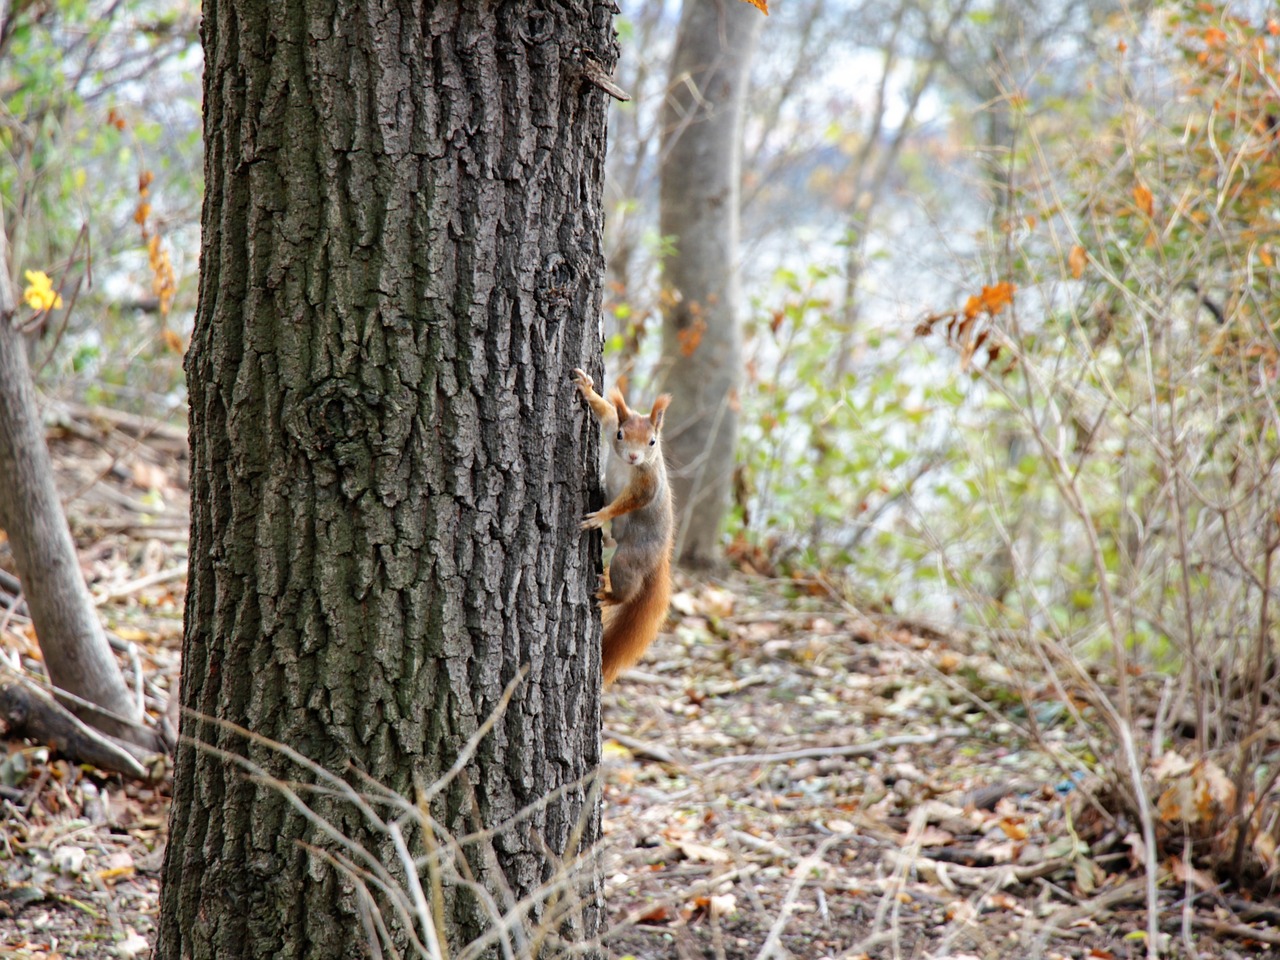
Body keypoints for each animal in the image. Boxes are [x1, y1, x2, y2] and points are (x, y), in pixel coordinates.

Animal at [573, 366, 675, 686]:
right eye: (621, 434)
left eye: (652, 441)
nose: (633, 455)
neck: (628, 466)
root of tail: (660, 558)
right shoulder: (609, 424)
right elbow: (604, 410)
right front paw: (587, 387)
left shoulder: (646, 484)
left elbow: (628, 503)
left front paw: (600, 516)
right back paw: (606, 539)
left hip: (629, 559)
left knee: (626, 587)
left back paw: (608, 594)